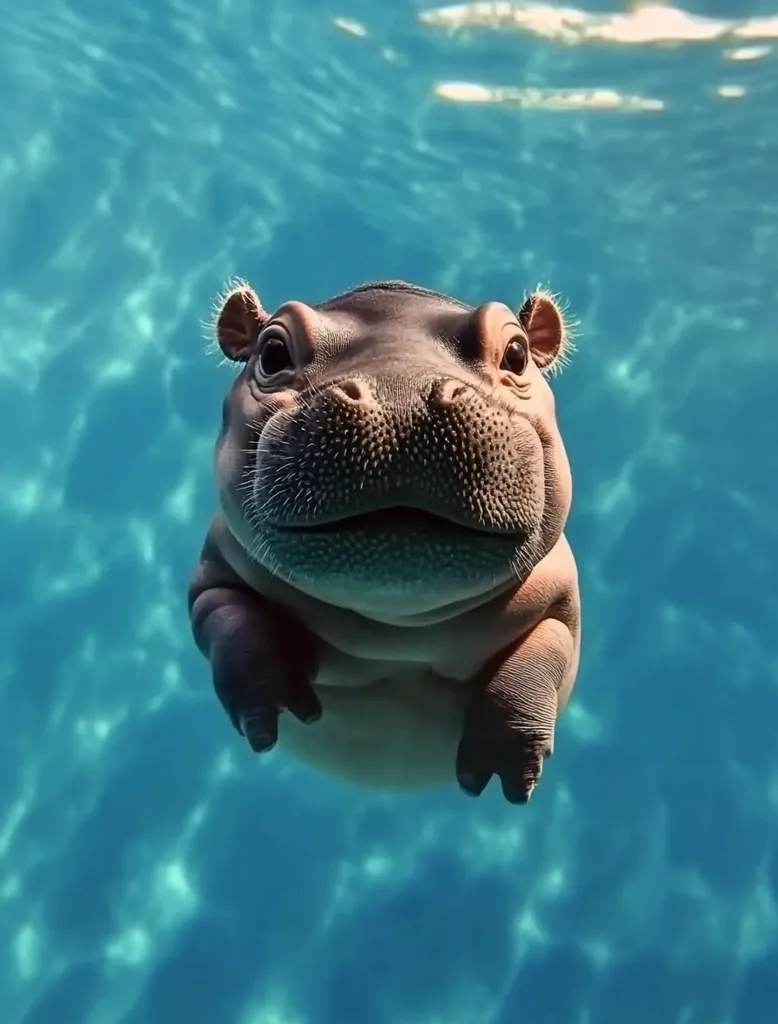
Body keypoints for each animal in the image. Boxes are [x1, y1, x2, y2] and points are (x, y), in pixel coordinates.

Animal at [188, 278, 581, 804]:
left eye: (516, 355)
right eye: (271, 353)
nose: (401, 399)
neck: (397, 620)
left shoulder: (560, 596)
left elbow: (539, 657)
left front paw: (505, 773)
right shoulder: (213, 576)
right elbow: (233, 624)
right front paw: (276, 713)